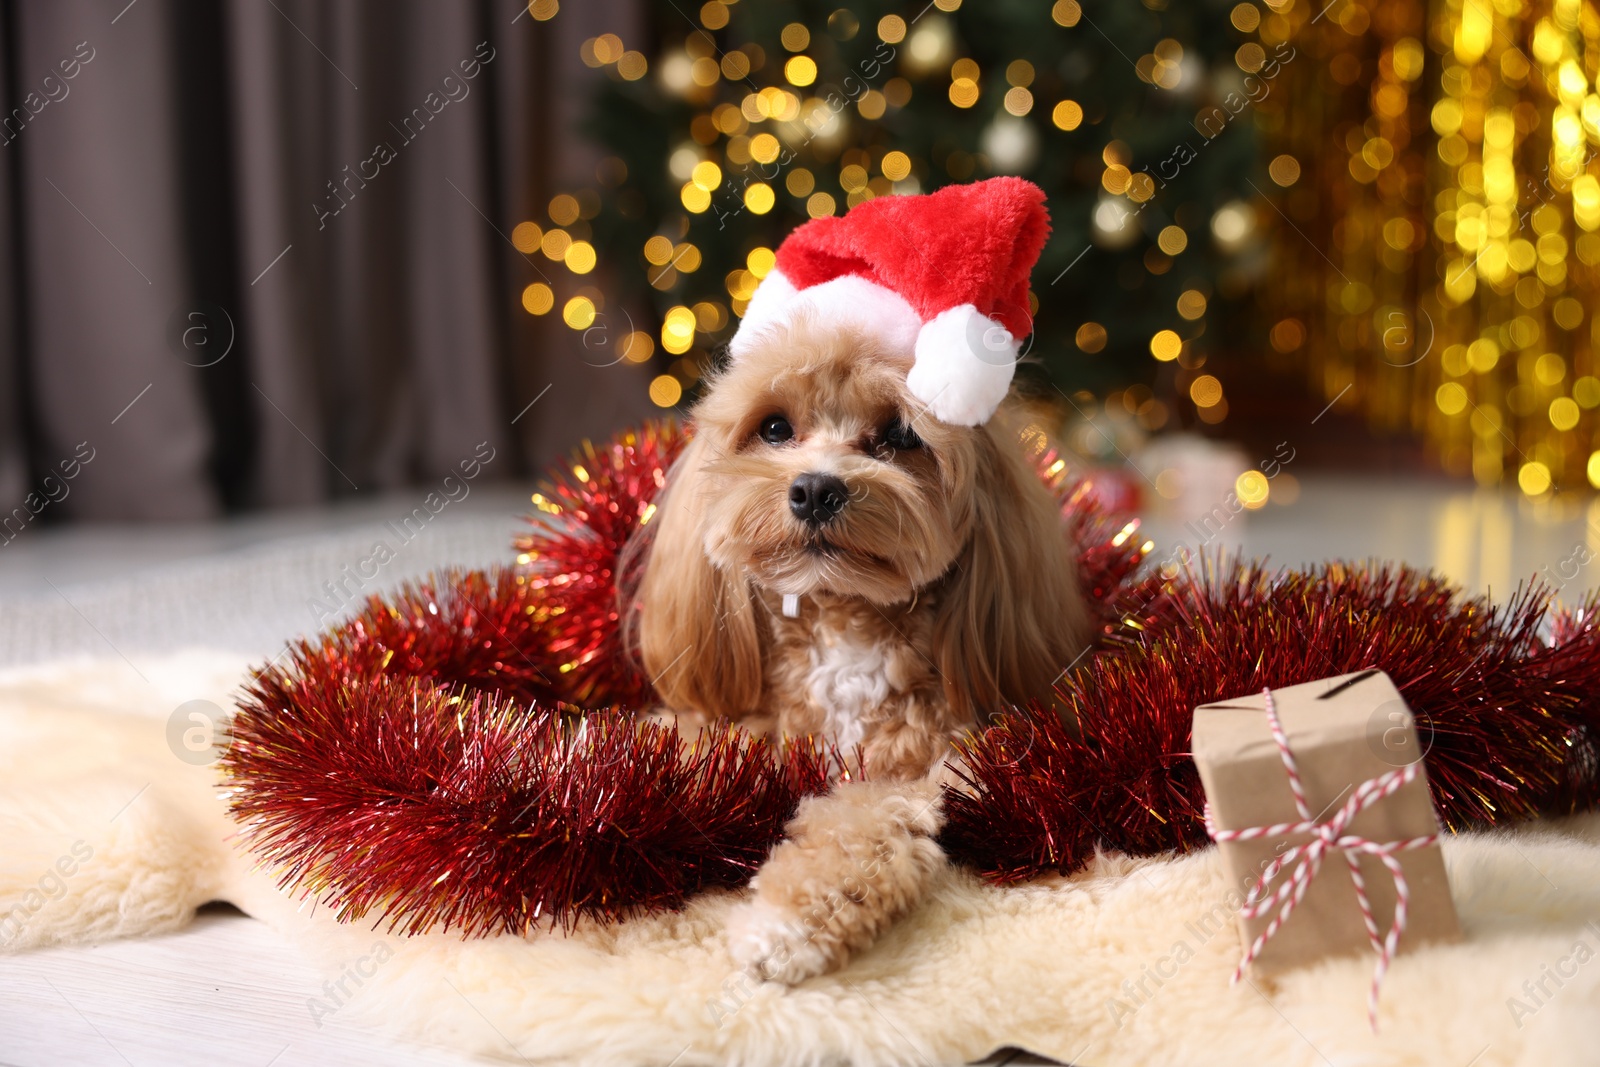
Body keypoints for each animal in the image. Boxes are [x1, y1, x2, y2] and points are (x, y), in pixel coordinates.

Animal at [630, 308, 1094, 985]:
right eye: (774, 427)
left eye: (901, 434)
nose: (815, 490)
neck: (844, 623)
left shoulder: (922, 766)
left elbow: (858, 825)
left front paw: (785, 924)